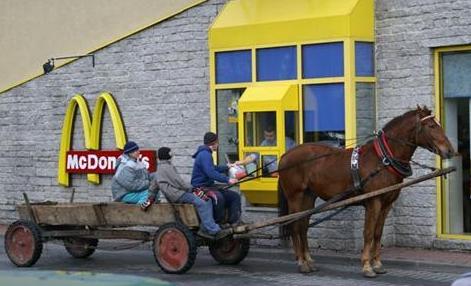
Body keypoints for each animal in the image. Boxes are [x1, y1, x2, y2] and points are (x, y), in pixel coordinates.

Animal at [278, 105, 456, 278]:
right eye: (431, 126)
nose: (450, 151)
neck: (383, 160)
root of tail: (285, 155)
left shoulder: (386, 204)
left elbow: (378, 233)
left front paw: (377, 264)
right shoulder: (373, 202)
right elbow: (368, 233)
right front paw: (366, 266)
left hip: (308, 196)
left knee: (303, 225)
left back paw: (308, 260)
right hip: (295, 196)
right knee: (294, 225)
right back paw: (302, 263)